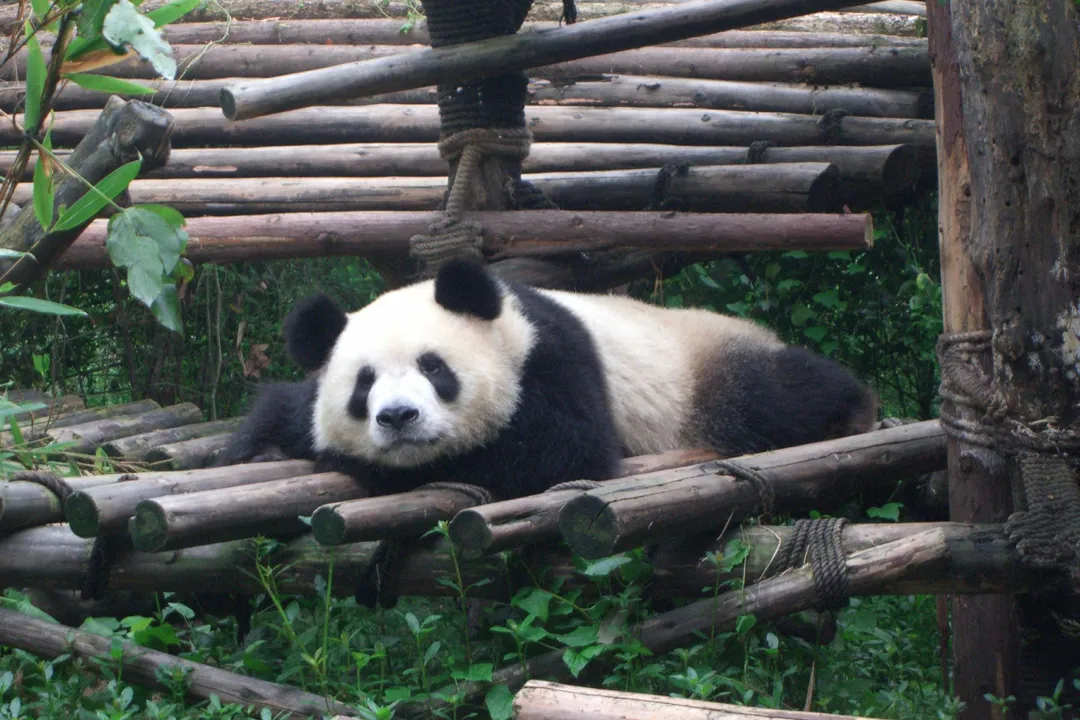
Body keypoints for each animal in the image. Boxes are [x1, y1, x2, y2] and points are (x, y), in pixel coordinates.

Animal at [217, 258, 878, 500]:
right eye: (363, 384)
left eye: (435, 367)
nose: (399, 417)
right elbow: (283, 410)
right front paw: (265, 449)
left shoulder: (553, 359)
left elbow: (559, 452)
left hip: (704, 368)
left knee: (773, 395)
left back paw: (852, 408)